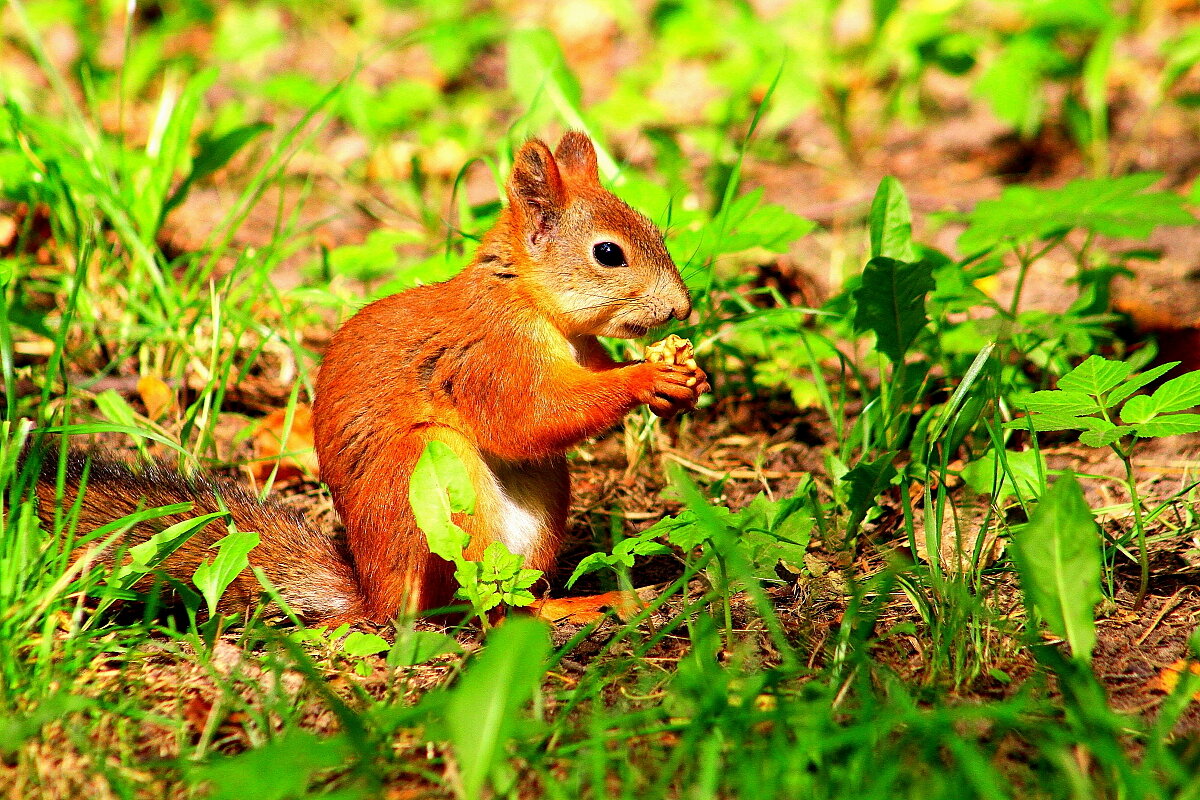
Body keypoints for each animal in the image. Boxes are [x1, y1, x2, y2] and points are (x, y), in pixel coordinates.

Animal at [28, 133, 705, 623]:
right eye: (608, 253)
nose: (682, 307)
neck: (531, 304)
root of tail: (370, 596)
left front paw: (683, 377)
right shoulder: (487, 357)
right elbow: (529, 419)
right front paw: (647, 377)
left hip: (539, 502)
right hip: (426, 477)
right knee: (481, 608)